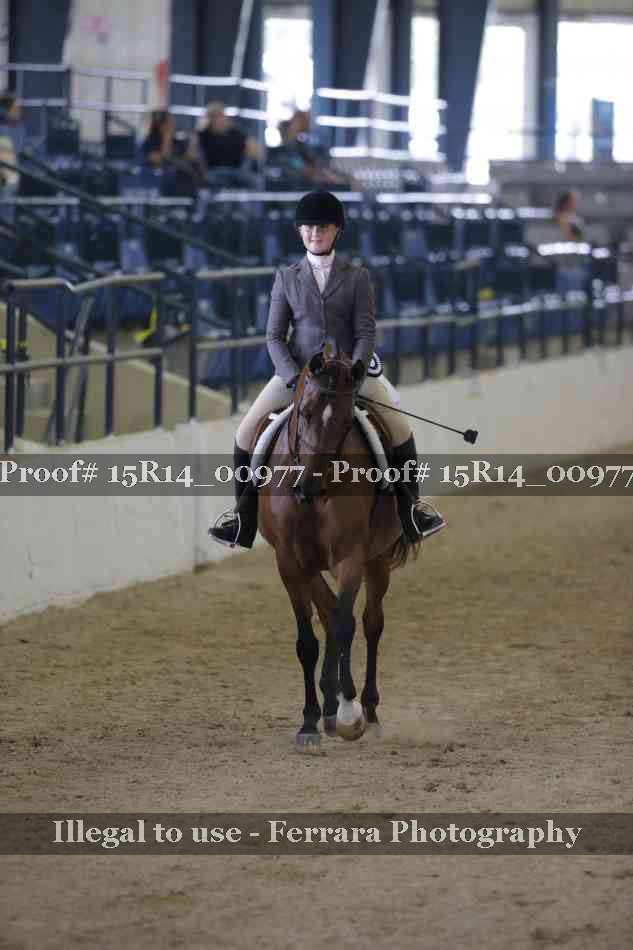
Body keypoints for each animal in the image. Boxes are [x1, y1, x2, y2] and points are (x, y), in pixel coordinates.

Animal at [255, 343, 420, 753]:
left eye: (347, 421)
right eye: (306, 412)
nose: (309, 487)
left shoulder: (351, 557)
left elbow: (346, 626)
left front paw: (349, 715)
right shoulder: (289, 562)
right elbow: (309, 642)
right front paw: (311, 722)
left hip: (377, 560)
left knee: (371, 623)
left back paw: (368, 712)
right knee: (329, 613)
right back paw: (332, 708)